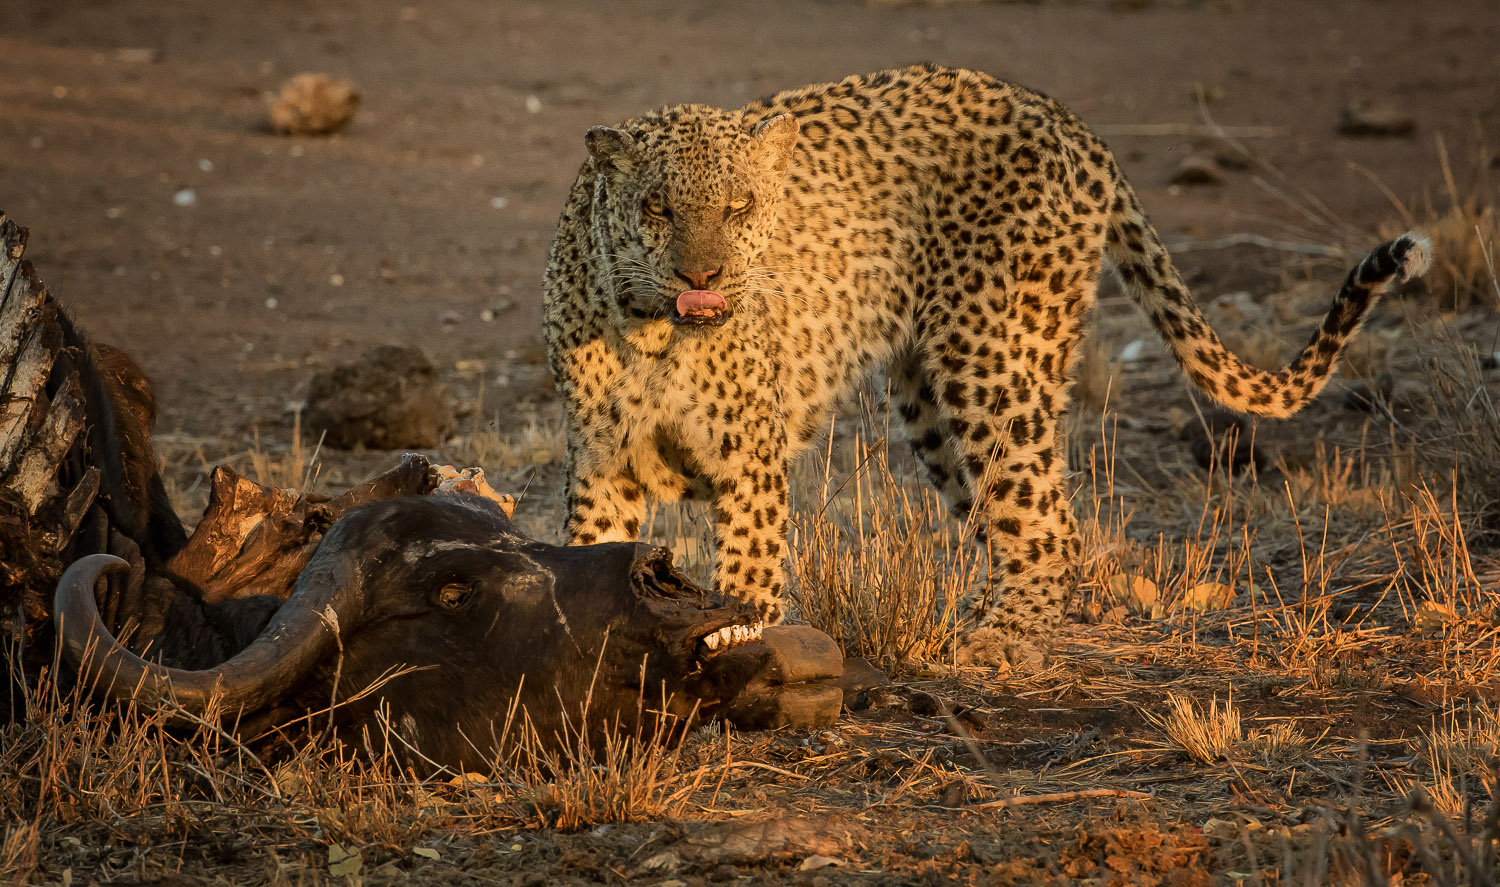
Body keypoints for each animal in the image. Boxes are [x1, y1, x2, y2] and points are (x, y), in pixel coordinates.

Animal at [542, 64, 1430, 667]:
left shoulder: (748, 458)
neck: (652, 334)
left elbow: (750, 571)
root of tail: (1065, 117)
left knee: (1049, 523)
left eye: (741, 208)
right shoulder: (601, 463)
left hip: (992, 353)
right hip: (932, 395)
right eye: (657, 207)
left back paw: (997, 639)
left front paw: (738, 636)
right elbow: (589, 560)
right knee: (1012, 517)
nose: (704, 275)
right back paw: (977, 614)